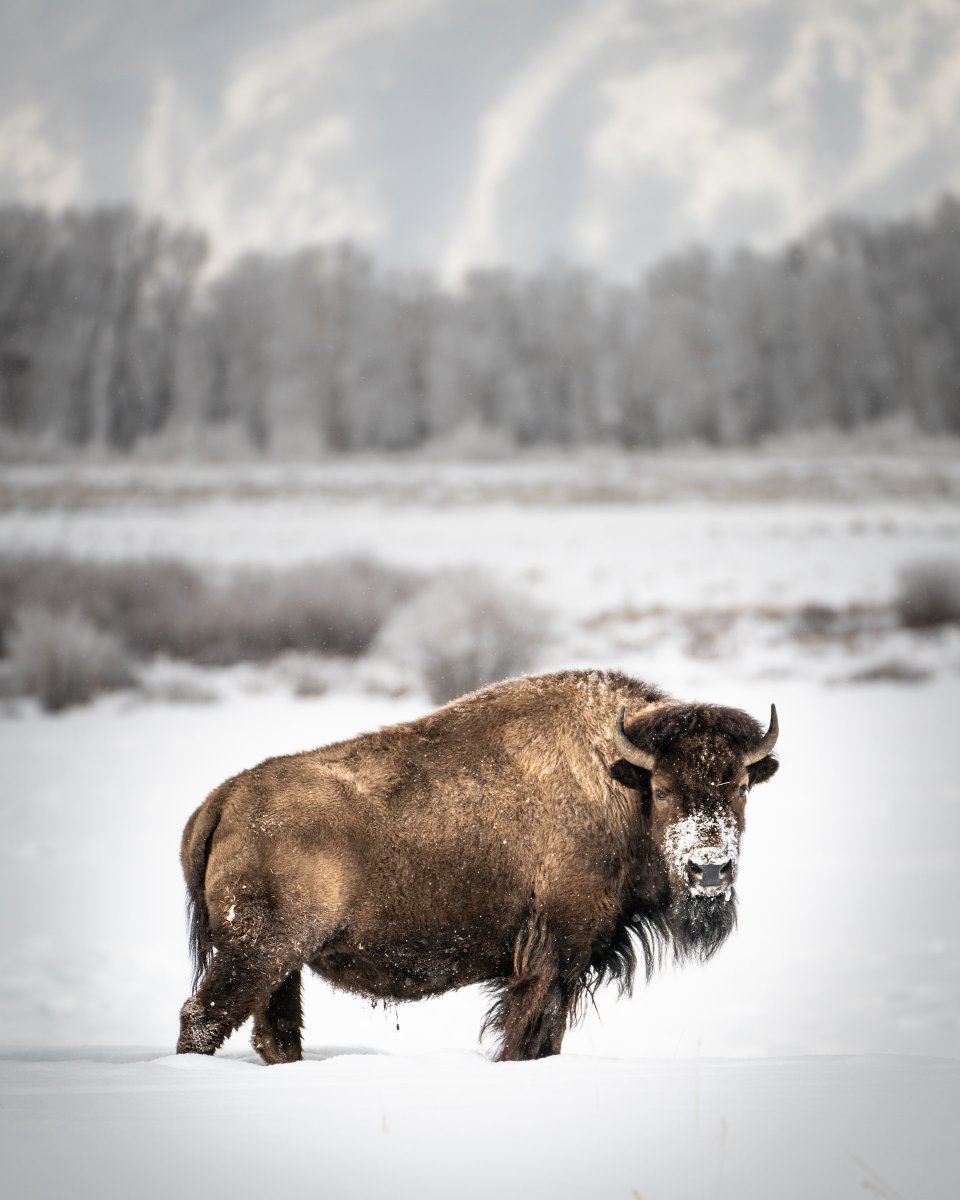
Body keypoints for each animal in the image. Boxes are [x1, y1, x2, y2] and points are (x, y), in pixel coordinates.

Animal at [177, 669, 779, 1062]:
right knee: (202, 1019)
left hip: (281, 967)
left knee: (273, 1032)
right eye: (662, 789)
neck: (618, 781)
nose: (709, 870)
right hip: (256, 954)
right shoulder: (554, 955)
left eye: (741, 786)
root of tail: (222, 799)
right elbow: (531, 1035)